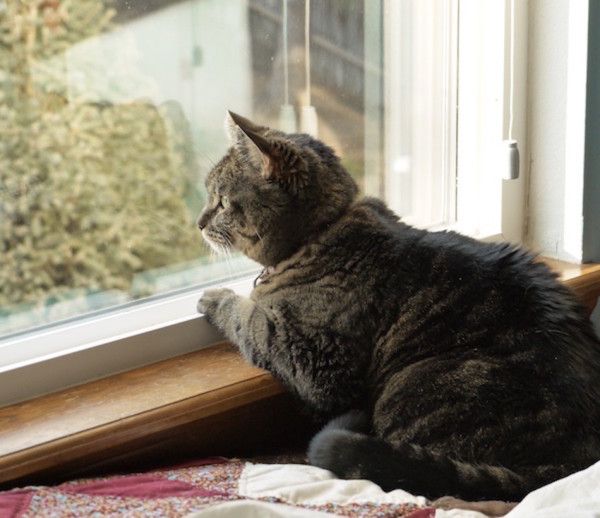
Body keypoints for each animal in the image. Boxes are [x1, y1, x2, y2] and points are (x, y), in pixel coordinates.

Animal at [197, 111, 600, 502]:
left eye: (221, 202)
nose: (199, 223)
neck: (323, 230)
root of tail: (566, 467)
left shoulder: (316, 360)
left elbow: (247, 318)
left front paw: (216, 298)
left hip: (414, 385)